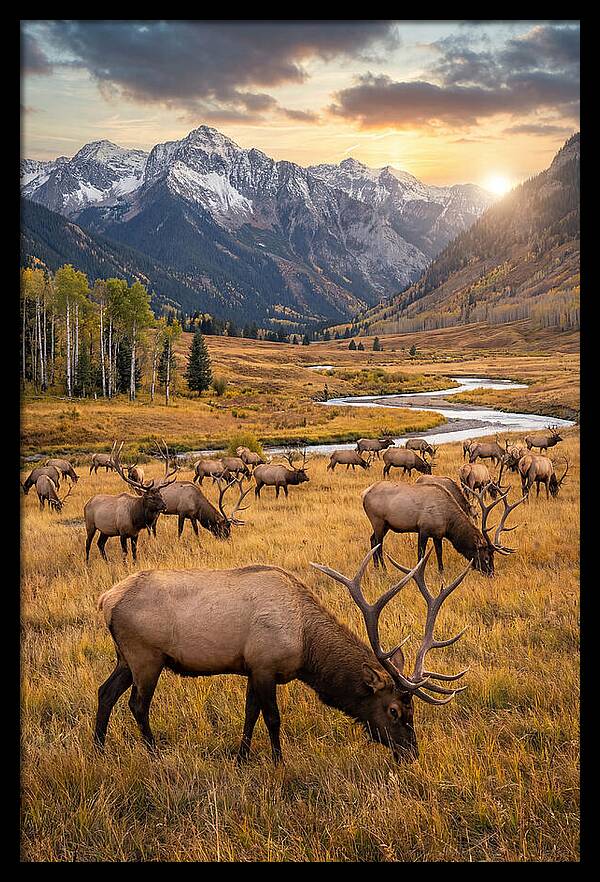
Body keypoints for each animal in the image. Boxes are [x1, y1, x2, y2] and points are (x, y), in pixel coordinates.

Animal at [94, 546, 471, 764]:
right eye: (393, 710)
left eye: (412, 710)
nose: (411, 754)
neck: (306, 646)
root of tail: (105, 600)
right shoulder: (265, 665)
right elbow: (272, 718)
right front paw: (278, 761)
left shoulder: (250, 667)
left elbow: (250, 714)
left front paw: (242, 758)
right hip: (146, 656)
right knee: (137, 705)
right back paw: (154, 753)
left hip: (125, 657)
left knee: (105, 692)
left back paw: (99, 749)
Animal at [362, 479, 524, 574]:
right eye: (486, 557)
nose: (491, 574)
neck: (448, 523)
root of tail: (364, 494)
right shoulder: (423, 529)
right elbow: (420, 554)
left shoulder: (438, 534)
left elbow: (439, 552)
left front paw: (441, 572)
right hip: (378, 521)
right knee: (378, 544)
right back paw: (383, 569)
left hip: (384, 525)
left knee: (372, 540)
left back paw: (376, 567)